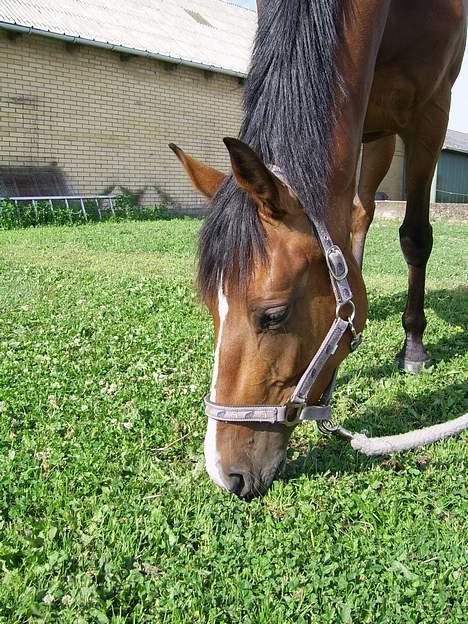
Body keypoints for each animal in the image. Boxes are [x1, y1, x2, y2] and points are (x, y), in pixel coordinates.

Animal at [170, 0, 466, 498]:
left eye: (273, 315)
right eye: (211, 307)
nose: (225, 473)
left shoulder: (431, 113)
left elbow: (415, 236)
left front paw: (413, 347)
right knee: (360, 211)